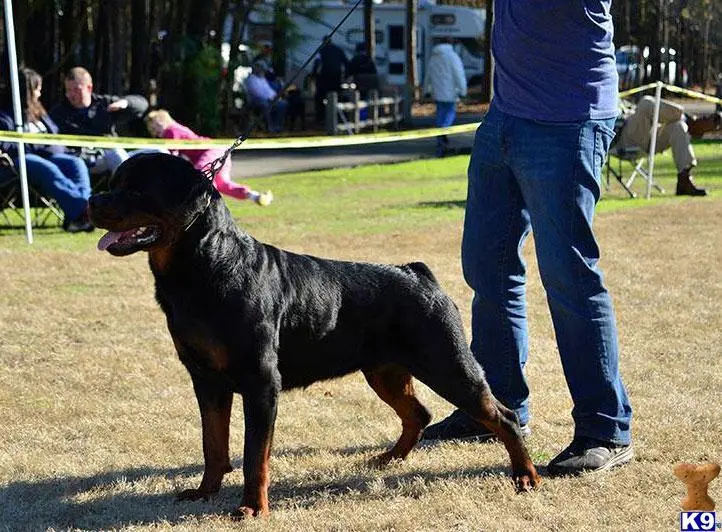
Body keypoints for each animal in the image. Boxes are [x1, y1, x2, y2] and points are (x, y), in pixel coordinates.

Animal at [87, 152, 536, 516]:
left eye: (137, 190)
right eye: (113, 184)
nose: (92, 202)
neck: (204, 266)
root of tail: (417, 274)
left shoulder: (260, 383)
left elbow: (254, 455)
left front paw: (251, 508)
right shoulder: (206, 380)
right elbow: (212, 444)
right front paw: (205, 491)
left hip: (446, 362)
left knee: (503, 416)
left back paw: (526, 476)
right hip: (385, 371)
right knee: (418, 413)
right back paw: (388, 459)